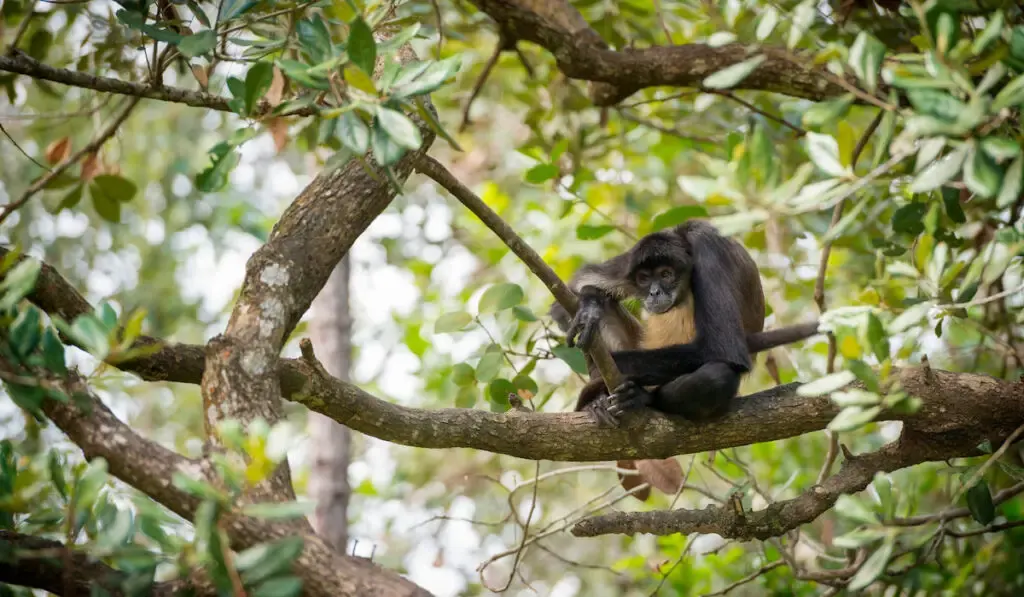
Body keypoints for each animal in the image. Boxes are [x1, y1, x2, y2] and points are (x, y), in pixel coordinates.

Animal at [548, 222, 819, 428]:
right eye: (644, 279)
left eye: (666, 274)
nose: (654, 292)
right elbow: (577, 285)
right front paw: (589, 307)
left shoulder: (707, 246)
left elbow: (724, 348)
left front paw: (605, 373)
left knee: (717, 375)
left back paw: (642, 397)